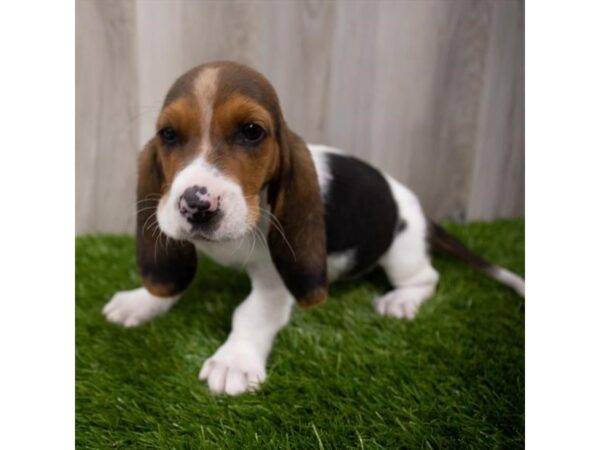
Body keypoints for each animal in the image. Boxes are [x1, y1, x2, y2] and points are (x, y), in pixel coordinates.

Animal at [104, 61, 524, 396]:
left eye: (252, 131)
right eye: (168, 134)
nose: (196, 204)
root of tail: (414, 204)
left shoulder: (275, 284)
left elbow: (251, 314)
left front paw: (234, 361)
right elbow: (175, 280)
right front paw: (142, 301)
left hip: (401, 251)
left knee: (427, 278)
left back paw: (400, 300)